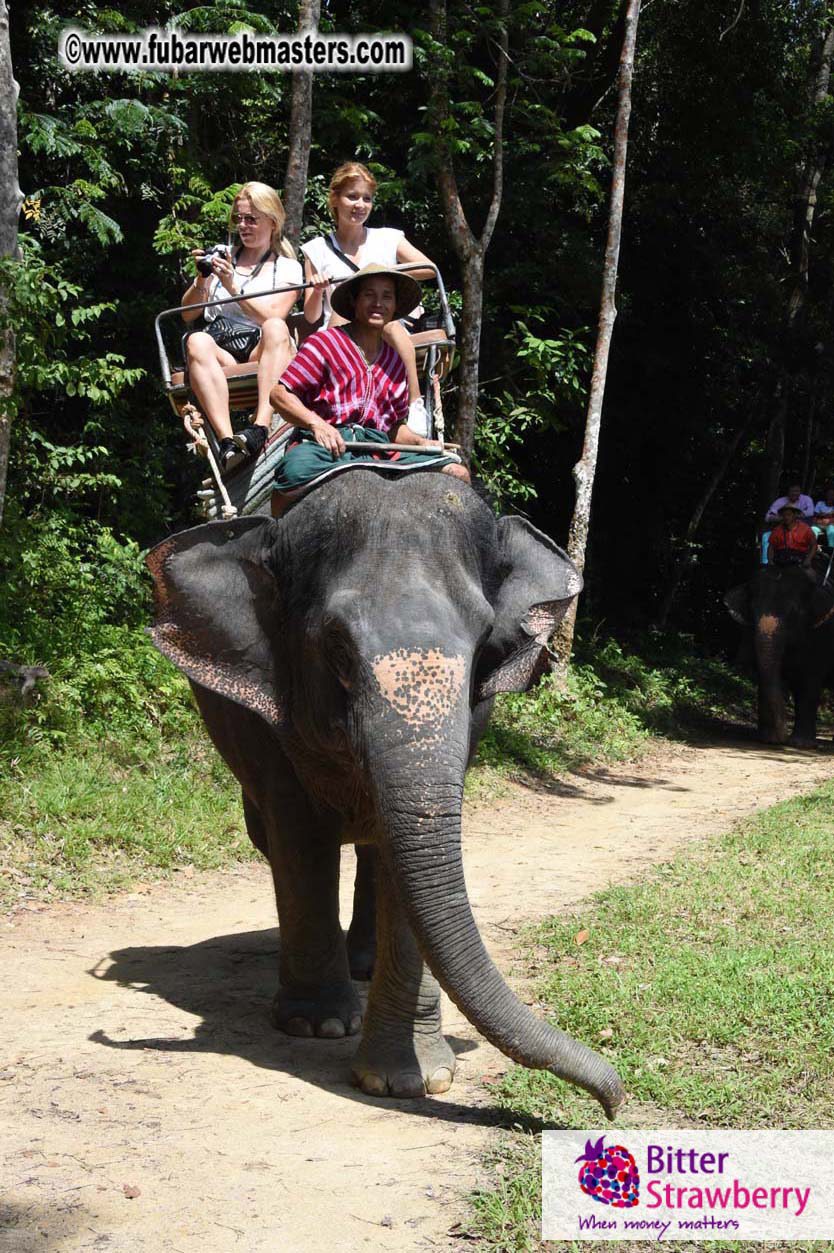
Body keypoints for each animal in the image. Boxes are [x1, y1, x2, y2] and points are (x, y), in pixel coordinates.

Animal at [146, 471, 624, 1116]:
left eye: (484, 644)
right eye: (337, 649)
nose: (614, 1101)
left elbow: (411, 846)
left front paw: (413, 1080)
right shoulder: (268, 711)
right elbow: (299, 836)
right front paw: (319, 1026)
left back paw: (365, 965)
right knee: (276, 837)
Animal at [725, 558, 834, 745]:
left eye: (793, 613)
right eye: (753, 610)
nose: (783, 736)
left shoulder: (821, 634)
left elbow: (810, 680)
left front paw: (800, 743)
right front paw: (767, 738)